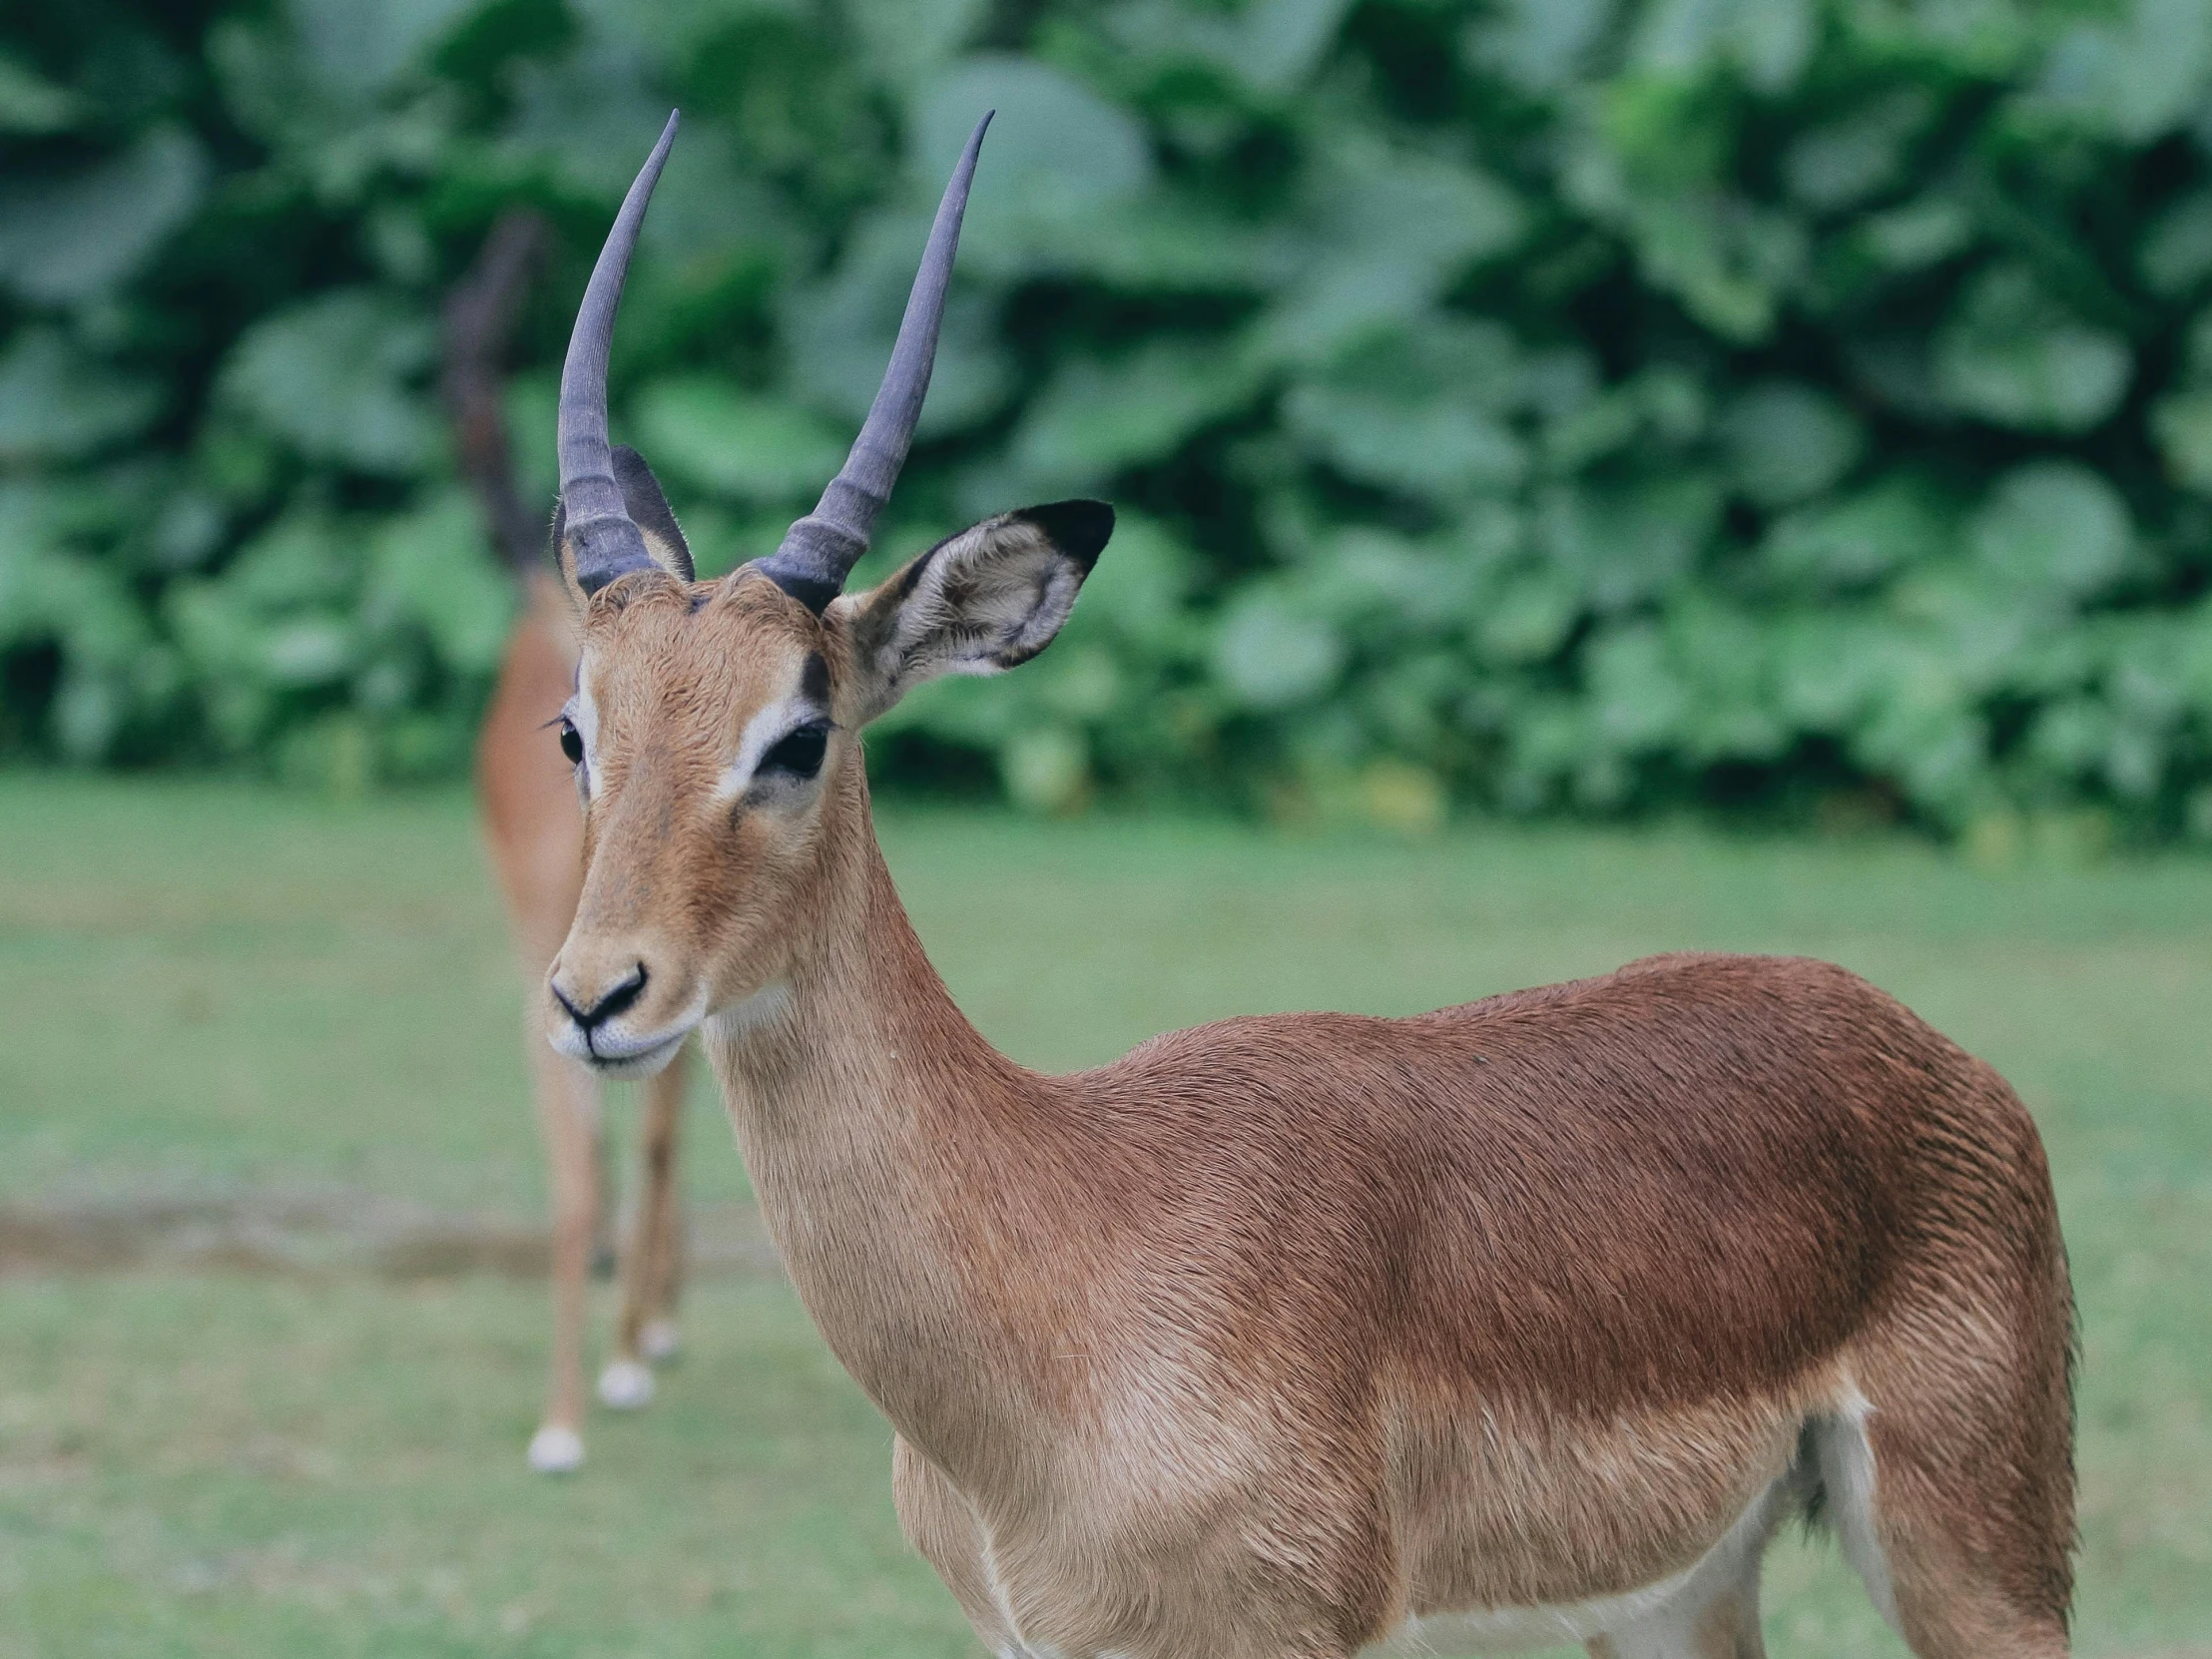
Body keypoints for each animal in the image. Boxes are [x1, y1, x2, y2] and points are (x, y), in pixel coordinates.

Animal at [530, 110, 2070, 1654]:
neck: (1075, 1257)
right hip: (1677, 1594)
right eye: (576, 728)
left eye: (798, 733)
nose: (598, 997)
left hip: (1978, 1560)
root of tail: (1936, 1053)